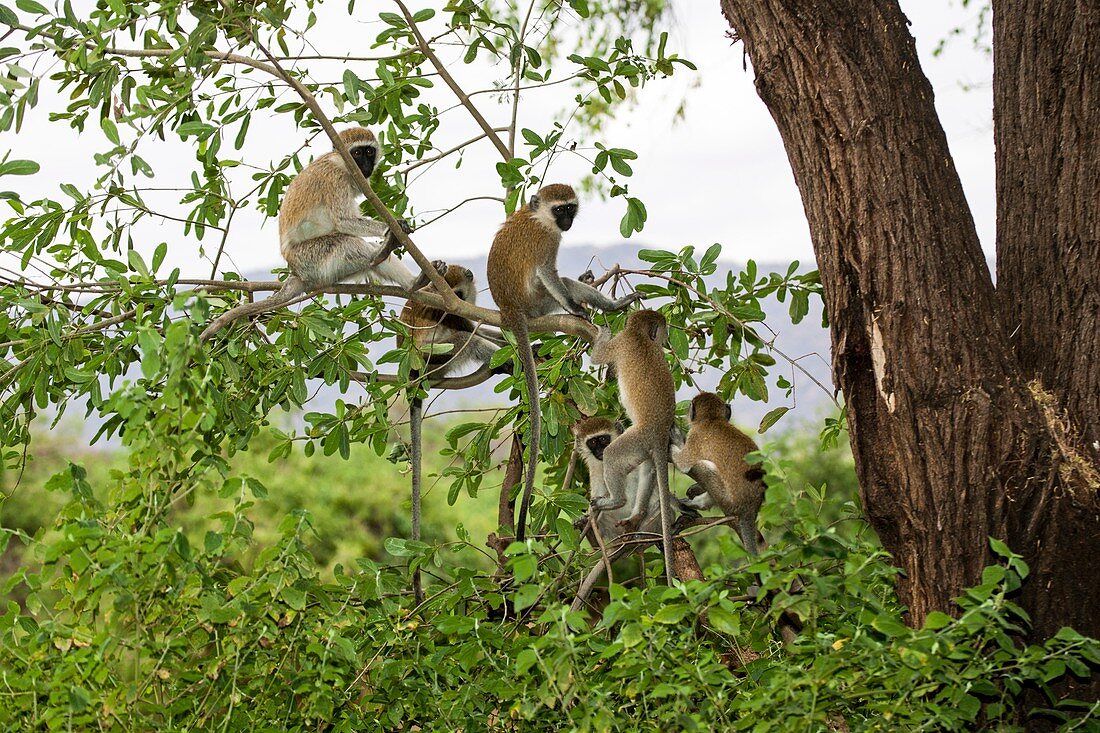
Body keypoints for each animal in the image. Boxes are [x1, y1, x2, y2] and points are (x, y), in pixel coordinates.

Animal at [200, 125, 440, 338]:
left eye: (369, 151)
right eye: (356, 153)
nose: (364, 166)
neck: (340, 163)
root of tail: (296, 271)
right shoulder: (336, 179)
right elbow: (343, 221)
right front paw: (394, 226)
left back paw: (413, 283)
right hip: (311, 258)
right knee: (347, 242)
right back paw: (380, 253)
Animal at [594, 308, 677, 581]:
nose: (665, 339)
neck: (639, 336)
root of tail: (661, 434)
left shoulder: (621, 343)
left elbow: (598, 357)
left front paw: (602, 331)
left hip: (636, 439)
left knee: (611, 454)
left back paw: (616, 501)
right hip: (643, 446)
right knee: (648, 466)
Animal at [668, 391, 765, 550]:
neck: (712, 419)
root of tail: (750, 508)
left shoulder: (695, 436)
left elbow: (683, 463)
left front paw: (674, 440)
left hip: (727, 500)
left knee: (704, 466)